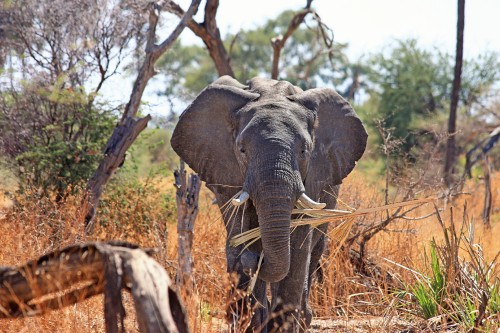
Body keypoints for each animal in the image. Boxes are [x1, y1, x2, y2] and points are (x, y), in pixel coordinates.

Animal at [172, 76, 368, 332]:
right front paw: (250, 322)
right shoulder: (229, 173)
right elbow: (240, 230)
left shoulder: (313, 176)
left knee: (314, 250)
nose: (256, 259)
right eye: (242, 150)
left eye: (304, 150)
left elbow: (298, 246)